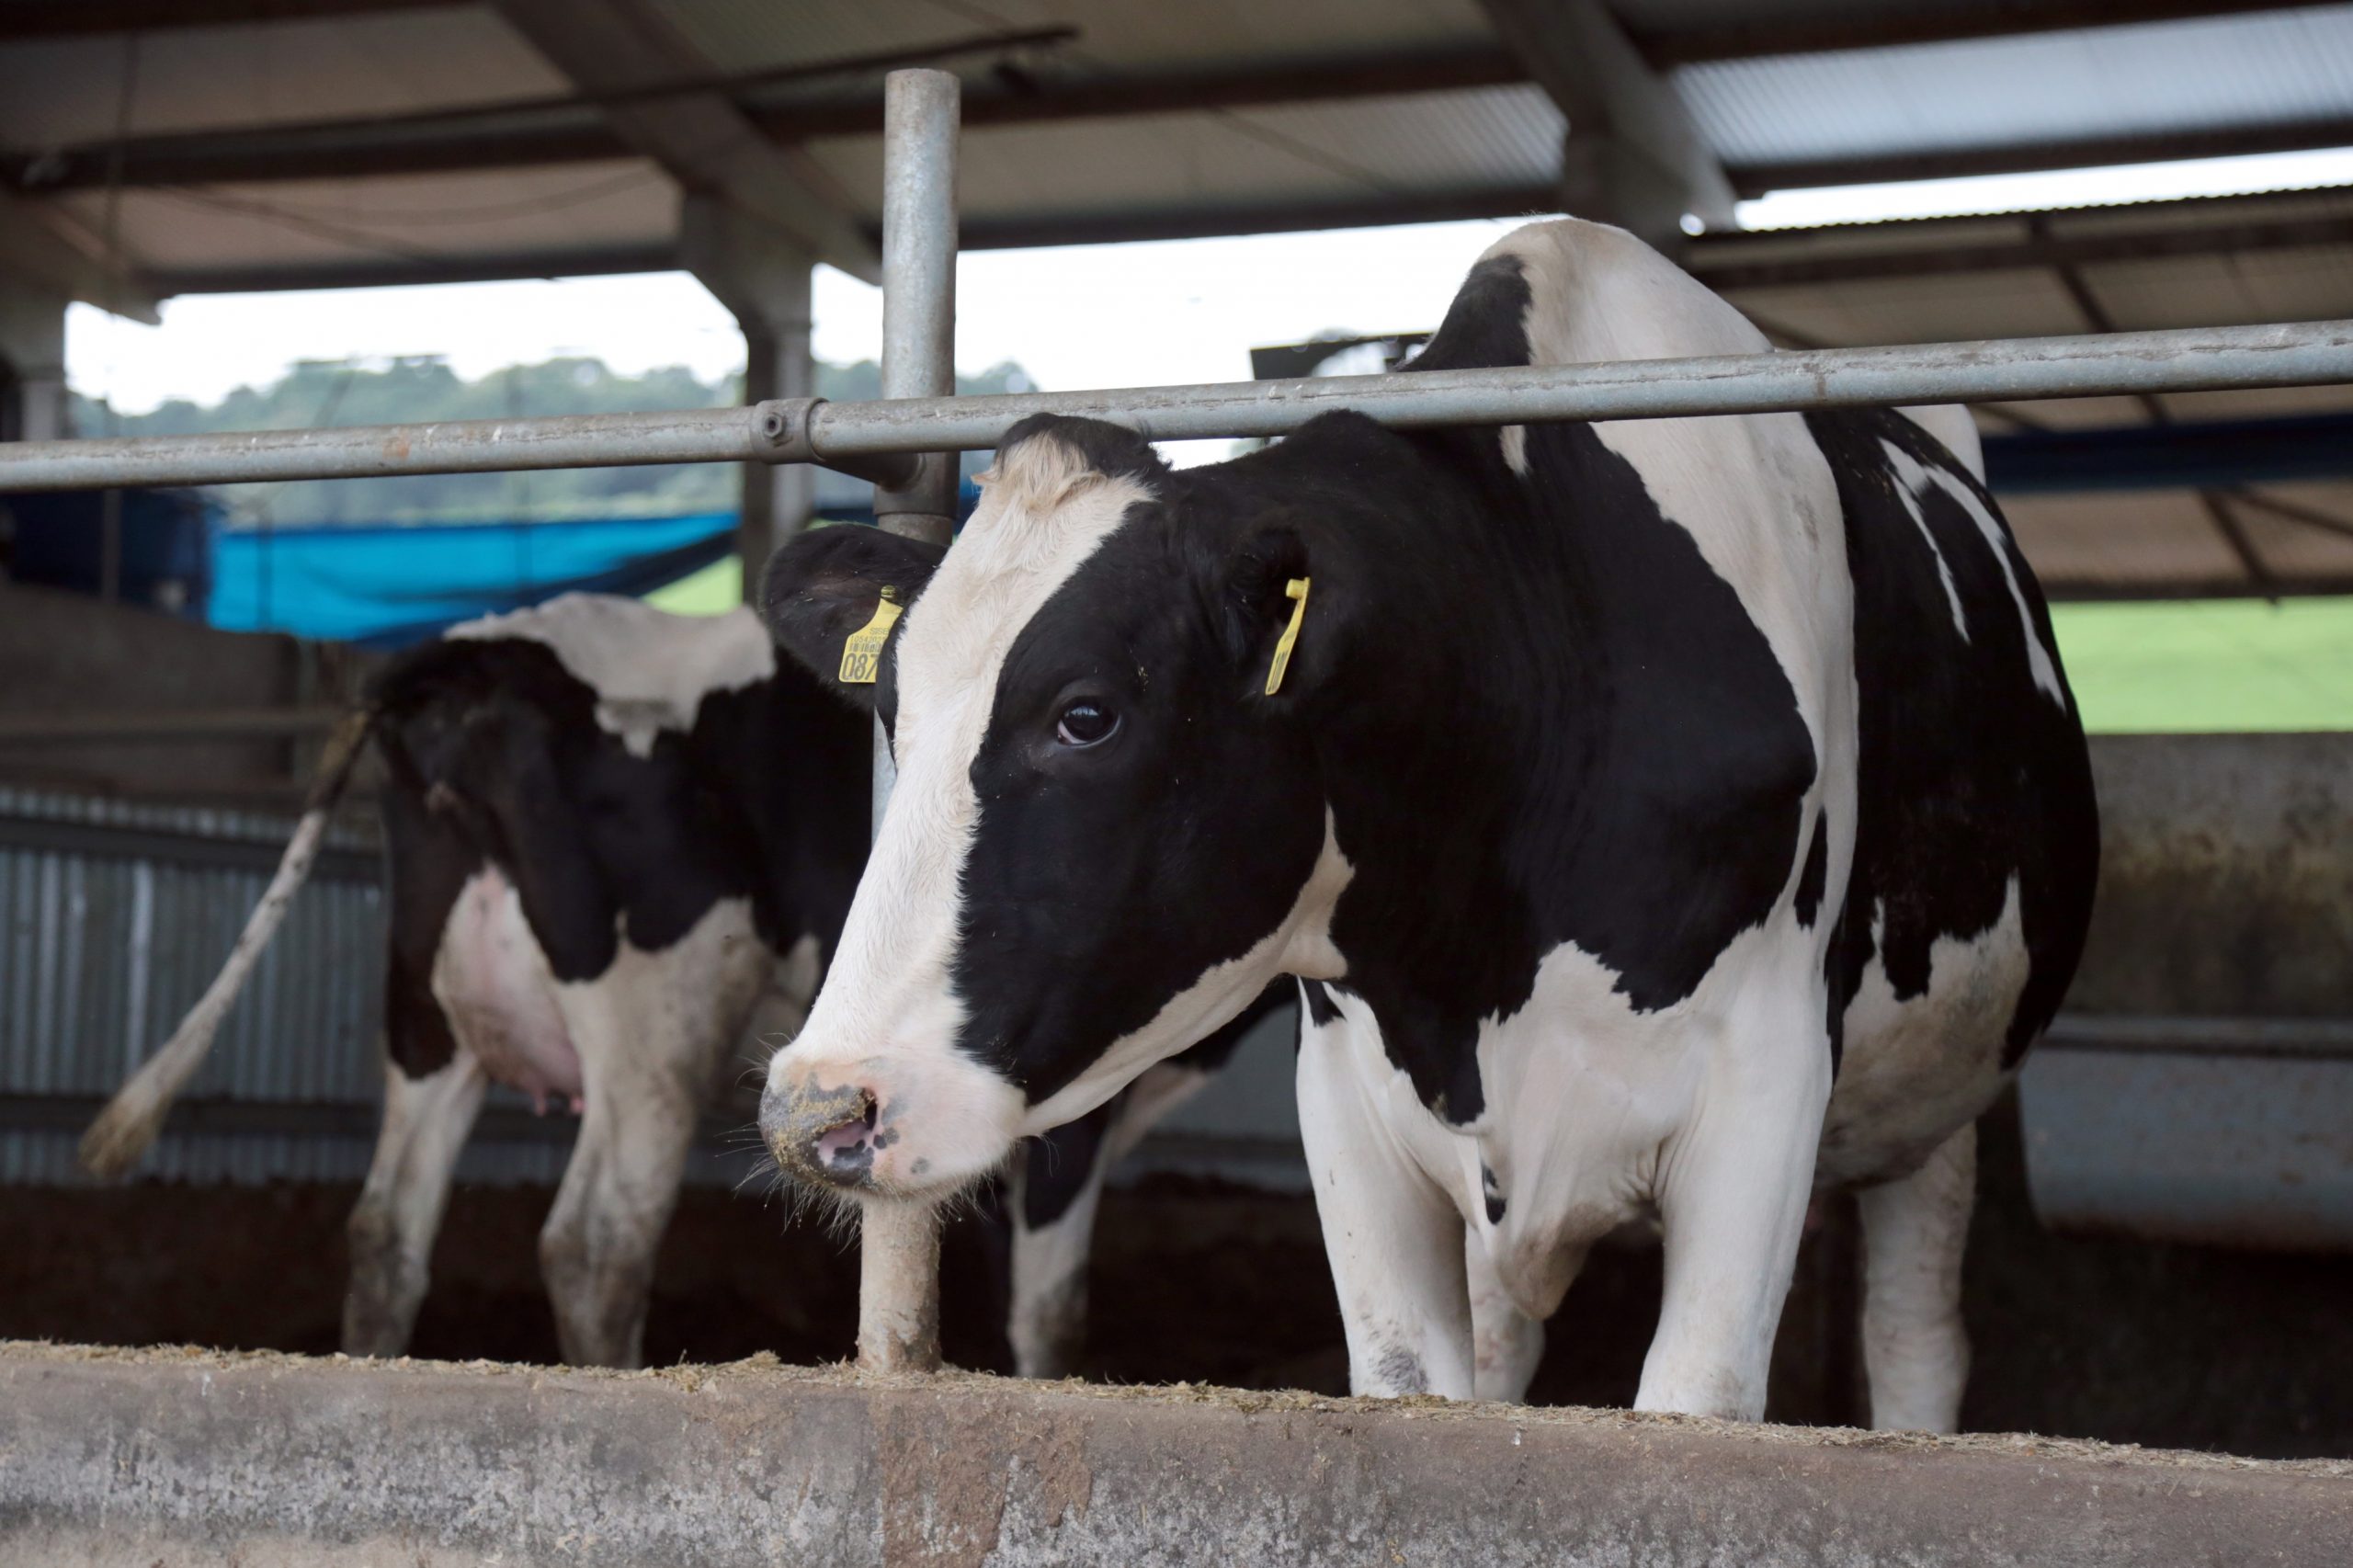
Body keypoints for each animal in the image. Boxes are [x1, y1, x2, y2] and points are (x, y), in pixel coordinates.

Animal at [762, 220, 2108, 1431]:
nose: (819, 1108)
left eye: (1086, 715)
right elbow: (1419, 1389)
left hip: (1937, 1098)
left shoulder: (1765, 1079)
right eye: (891, 709)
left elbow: (1700, 1400)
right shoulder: (1350, 1097)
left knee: (1915, 1337)